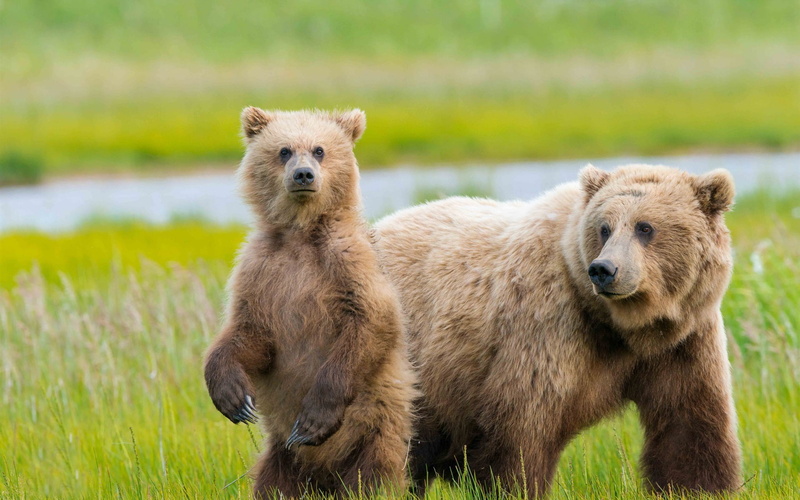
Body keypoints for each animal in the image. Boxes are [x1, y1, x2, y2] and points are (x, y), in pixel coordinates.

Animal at [204, 108, 416, 499]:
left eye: (319, 150)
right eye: (284, 150)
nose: (304, 174)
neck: (300, 234)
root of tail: (324, 478)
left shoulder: (348, 265)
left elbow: (369, 326)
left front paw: (312, 421)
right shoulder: (262, 270)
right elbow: (249, 332)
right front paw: (235, 398)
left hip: (375, 433)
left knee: (371, 478)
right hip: (281, 457)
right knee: (272, 484)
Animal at [373, 164, 741, 496]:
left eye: (645, 227)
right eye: (604, 228)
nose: (604, 270)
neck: (625, 327)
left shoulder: (684, 338)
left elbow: (689, 422)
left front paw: (699, 486)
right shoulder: (547, 327)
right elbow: (521, 433)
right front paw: (516, 485)